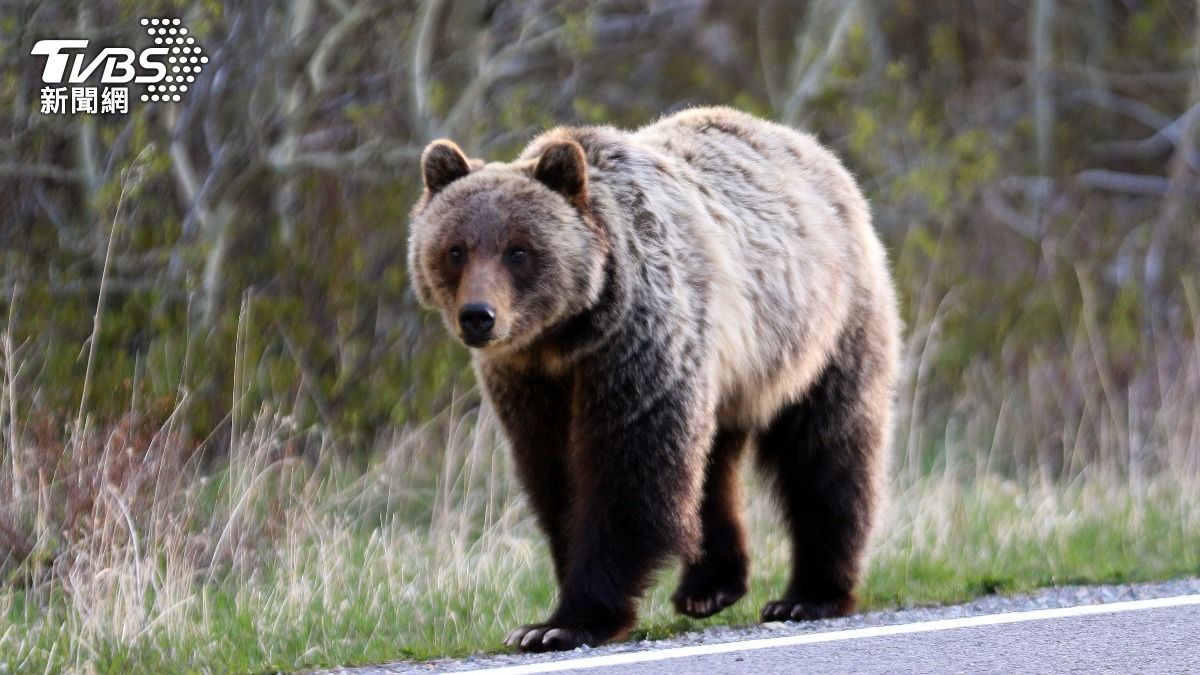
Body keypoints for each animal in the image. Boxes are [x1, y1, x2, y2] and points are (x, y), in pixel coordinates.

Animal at [407, 106, 901, 652]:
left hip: (823, 326)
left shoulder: (639, 342)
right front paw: (550, 615)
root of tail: (816, 151)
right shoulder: (529, 379)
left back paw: (808, 595)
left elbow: (631, 469)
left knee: (826, 450)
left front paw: (565, 623)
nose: (478, 316)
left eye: (518, 250)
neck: (568, 337)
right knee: (710, 464)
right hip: (728, 372)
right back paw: (708, 587)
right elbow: (556, 475)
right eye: (455, 249)